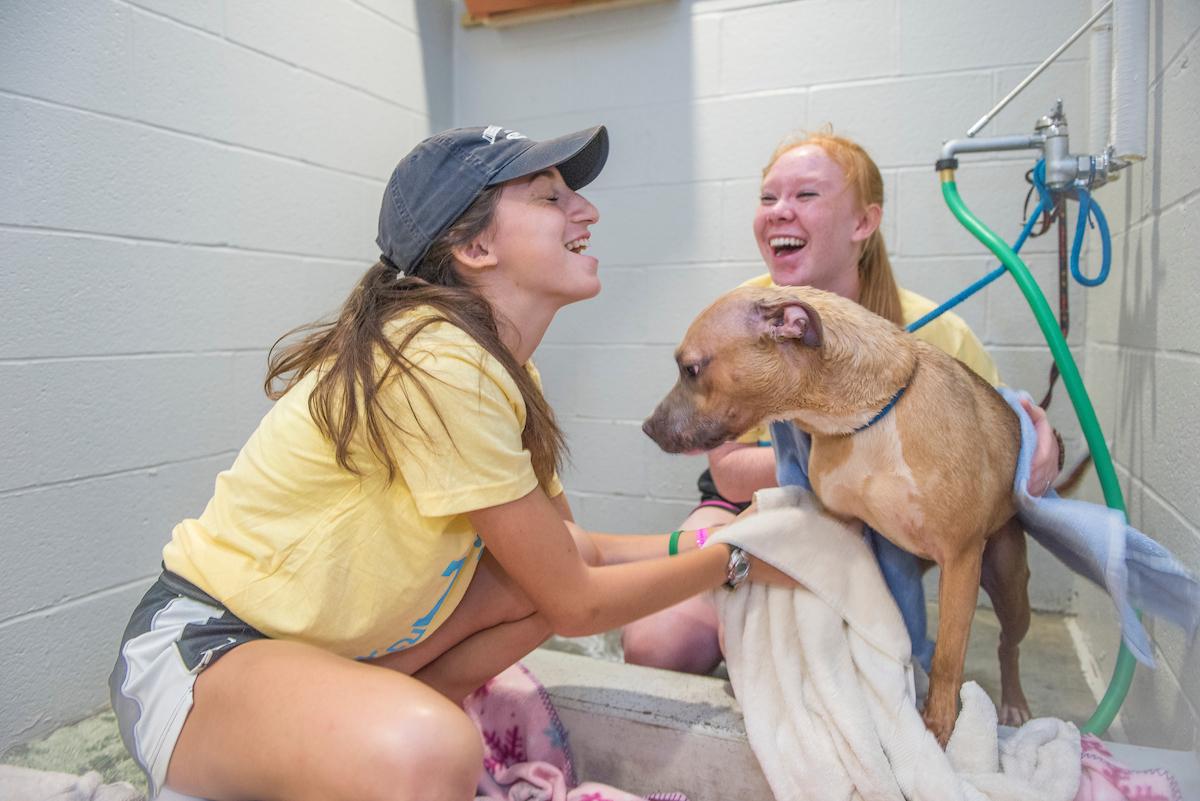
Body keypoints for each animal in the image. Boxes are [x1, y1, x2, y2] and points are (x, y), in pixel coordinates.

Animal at [648, 284, 1032, 748]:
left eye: (690, 369)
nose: (647, 427)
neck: (869, 419)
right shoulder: (842, 525)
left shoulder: (960, 559)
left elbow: (947, 657)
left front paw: (939, 728)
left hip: (1009, 587)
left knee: (1008, 646)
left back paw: (1013, 703)